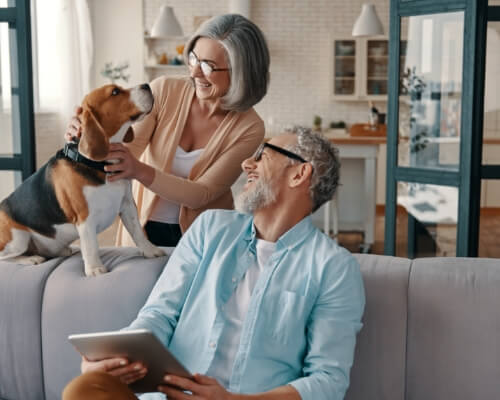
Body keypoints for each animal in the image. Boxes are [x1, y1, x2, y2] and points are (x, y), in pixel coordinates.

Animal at [0, 83, 166, 276]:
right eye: (115, 92)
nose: (146, 85)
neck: (99, 164)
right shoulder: (85, 217)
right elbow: (91, 245)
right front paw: (95, 269)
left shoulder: (127, 204)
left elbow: (137, 231)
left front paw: (150, 250)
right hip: (18, 238)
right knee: (7, 257)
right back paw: (31, 258)